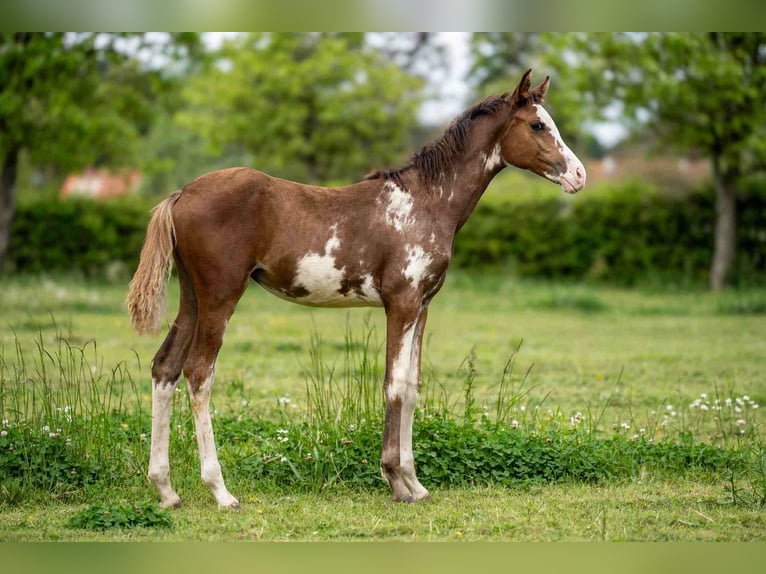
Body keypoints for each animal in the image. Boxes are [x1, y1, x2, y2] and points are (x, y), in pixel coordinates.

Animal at [127, 69, 586, 508]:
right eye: (537, 124)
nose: (579, 175)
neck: (426, 202)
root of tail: (181, 194)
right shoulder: (401, 304)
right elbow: (394, 385)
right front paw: (396, 482)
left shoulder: (422, 306)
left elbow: (412, 386)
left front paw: (416, 484)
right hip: (220, 297)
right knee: (199, 373)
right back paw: (221, 492)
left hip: (192, 298)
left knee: (165, 367)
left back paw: (166, 490)